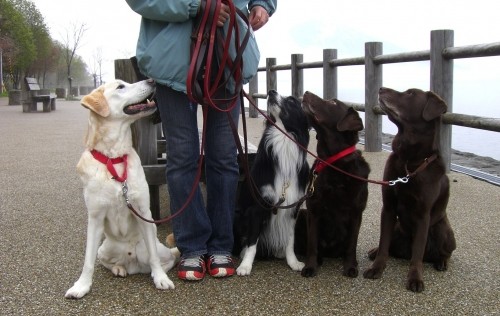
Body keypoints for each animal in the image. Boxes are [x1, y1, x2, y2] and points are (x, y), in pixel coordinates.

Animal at [296, 90, 372, 276]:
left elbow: (352, 245)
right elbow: (312, 243)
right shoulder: (313, 208)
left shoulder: (356, 211)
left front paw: (350, 267)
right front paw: (310, 266)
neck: (335, 163)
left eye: (333, 103)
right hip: (302, 214)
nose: (306, 92)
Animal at [364, 86, 458, 292]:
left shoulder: (423, 214)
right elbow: (384, 242)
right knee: (390, 245)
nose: (381, 88)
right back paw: (374, 251)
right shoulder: (388, 208)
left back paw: (442, 262)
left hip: (444, 231)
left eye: (410, 94)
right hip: (398, 227)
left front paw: (415, 278)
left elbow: (418, 253)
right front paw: (376, 267)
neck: (410, 161)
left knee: (442, 252)